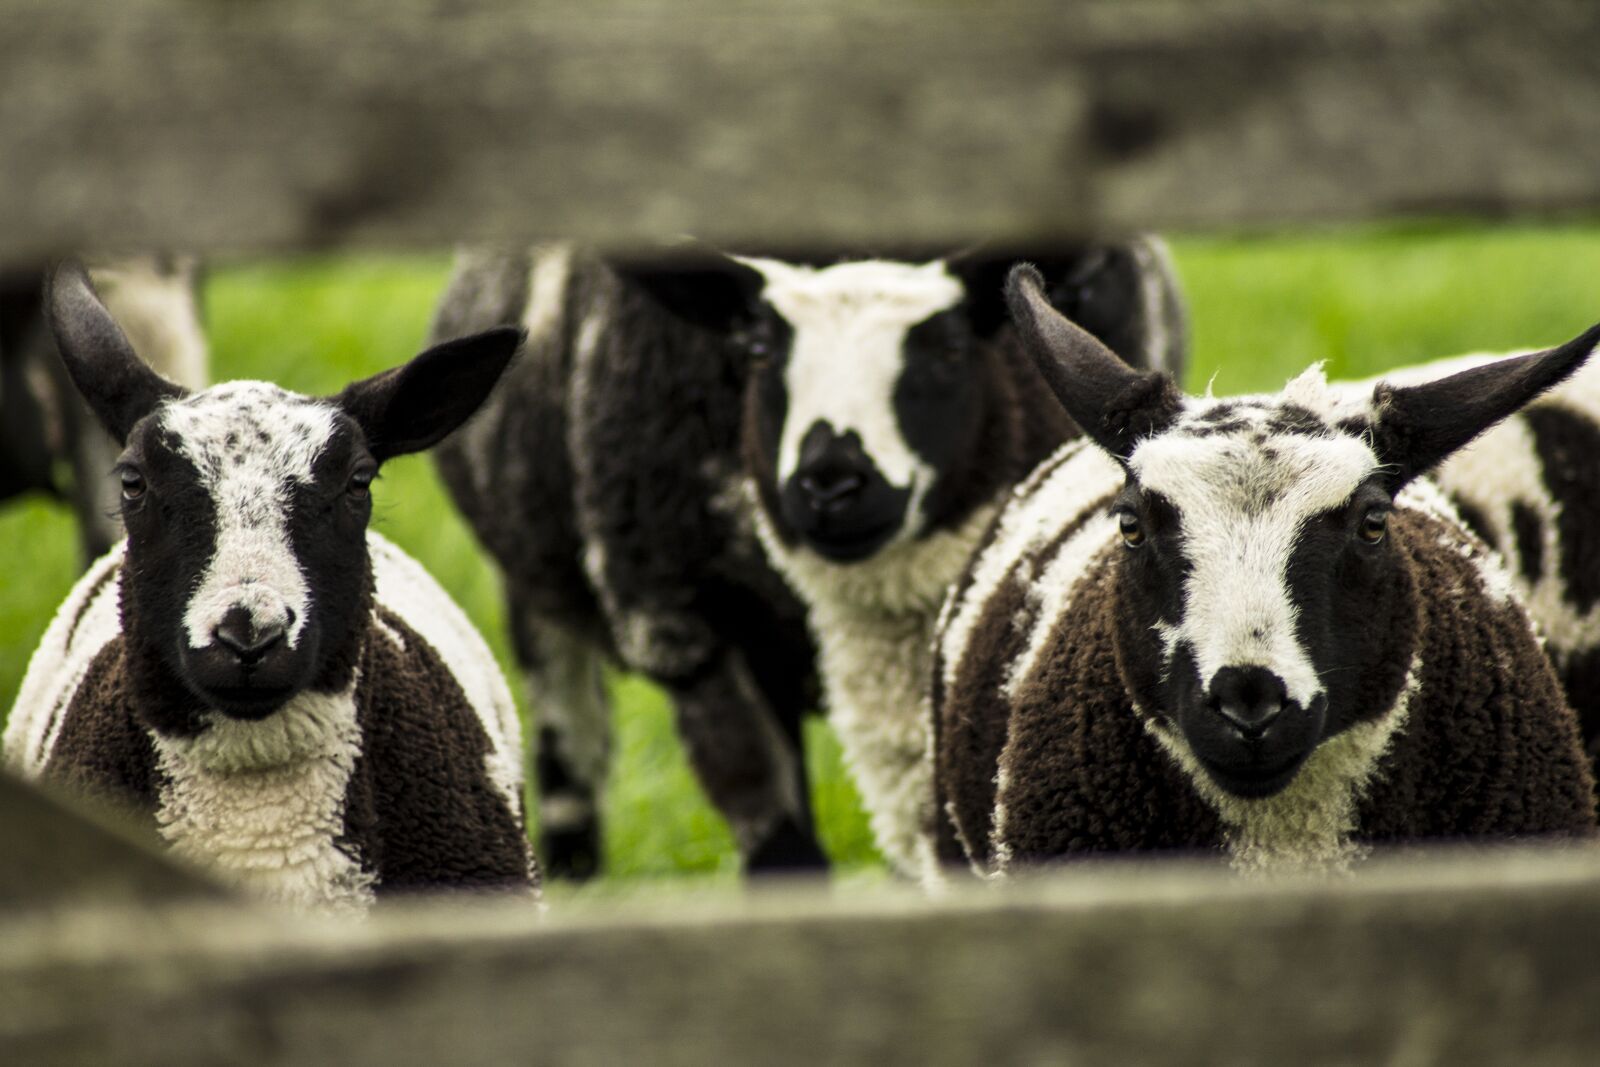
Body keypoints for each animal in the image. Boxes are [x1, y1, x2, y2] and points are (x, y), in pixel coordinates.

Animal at [431, 240, 1185, 879]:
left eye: (947, 348)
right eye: (760, 348)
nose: (830, 481)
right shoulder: (690, 628)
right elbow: (782, 852)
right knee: (568, 737)